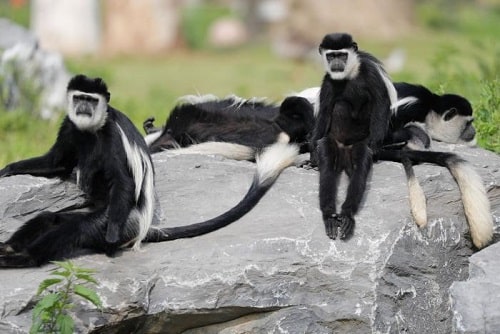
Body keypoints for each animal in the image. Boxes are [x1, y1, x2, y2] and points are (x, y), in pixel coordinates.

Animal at [0, 74, 155, 268]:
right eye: (79, 98)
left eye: (92, 100)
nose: (84, 107)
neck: (91, 128)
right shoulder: (68, 125)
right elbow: (56, 162)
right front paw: (7, 169)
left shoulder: (113, 134)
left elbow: (123, 180)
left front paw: (111, 235)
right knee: (48, 218)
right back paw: (8, 248)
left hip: (126, 221)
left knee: (76, 228)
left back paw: (24, 257)